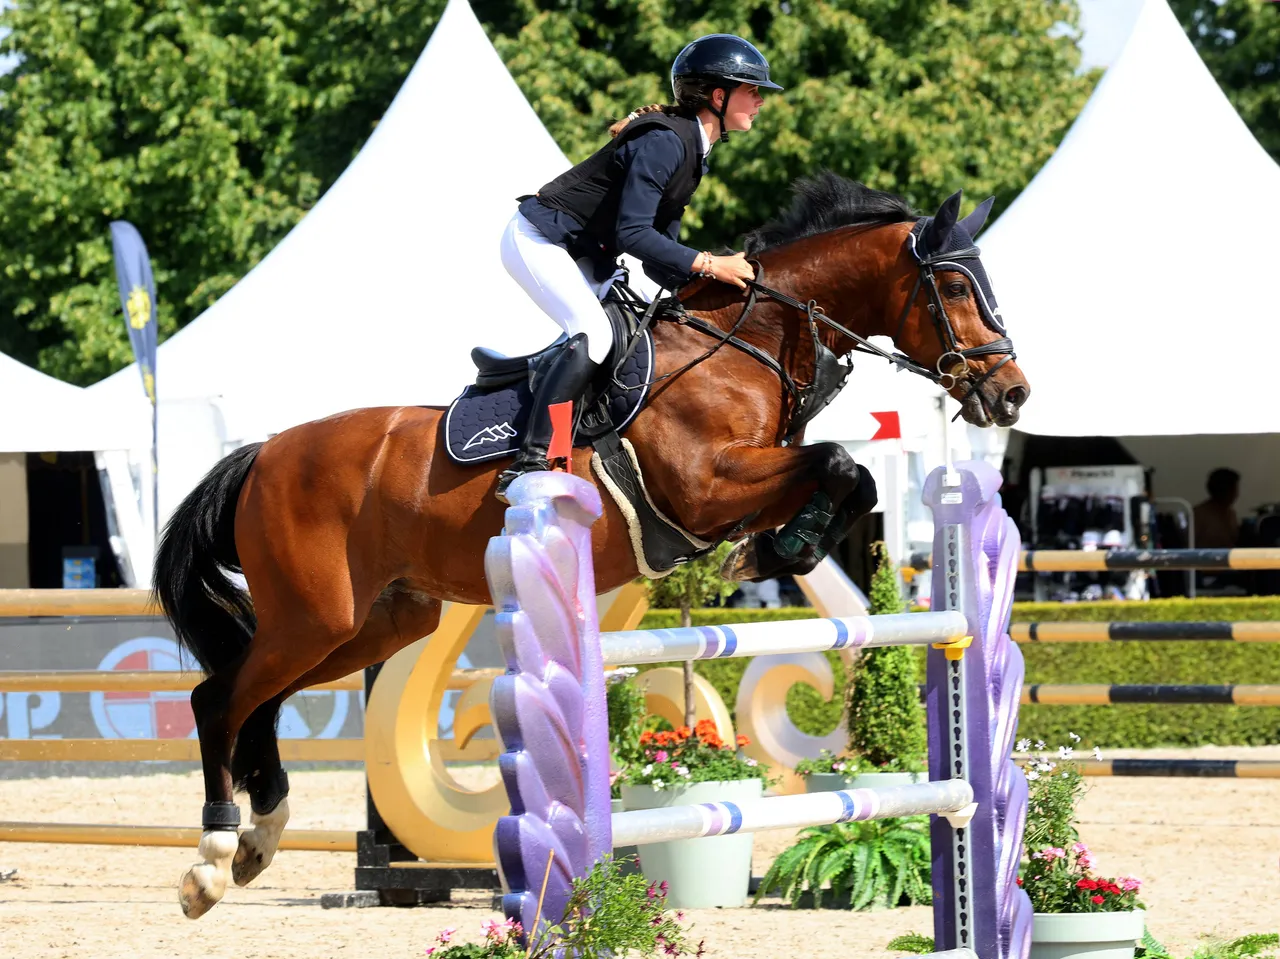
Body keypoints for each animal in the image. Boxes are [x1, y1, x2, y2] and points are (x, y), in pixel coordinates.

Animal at [153, 174, 1029, 918]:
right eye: (955, 287)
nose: (1012, 392)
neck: (744, 344)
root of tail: (263, 452)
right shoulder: (706, 488)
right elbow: (841, 462)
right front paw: (776, 552)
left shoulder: (740, 486)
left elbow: (851, 475)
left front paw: (781, 549)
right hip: (315, 616)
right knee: (219, 698)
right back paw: (212, 857)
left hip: (375, 622)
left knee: (259, 699)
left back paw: (261, 837)